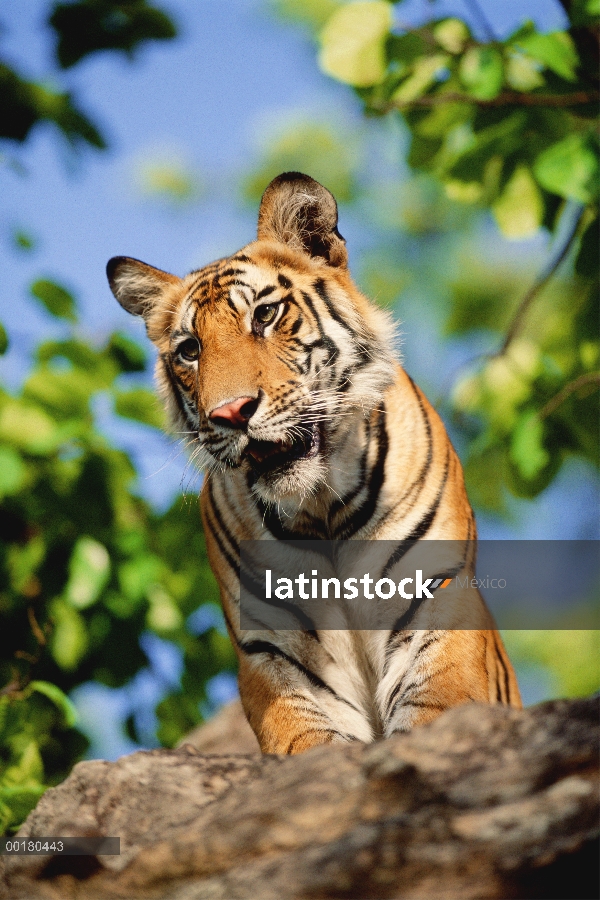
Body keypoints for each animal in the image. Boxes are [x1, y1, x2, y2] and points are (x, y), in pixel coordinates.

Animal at [106, 172, 520, 756]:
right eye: (189, 349)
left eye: (264, 315)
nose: (230, 412)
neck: (320, 508)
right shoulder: (271, 648)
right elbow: (307, 741)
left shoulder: (436, 598)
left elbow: (433, 711)